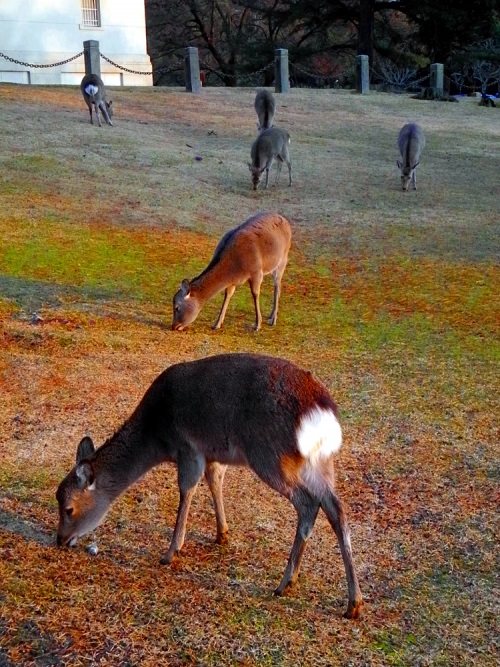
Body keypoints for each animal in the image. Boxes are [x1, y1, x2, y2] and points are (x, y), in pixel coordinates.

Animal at [56, 352, 364, 620]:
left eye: (69, 508)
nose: (60, 540)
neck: (157, 435)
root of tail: (323, 411)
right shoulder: (213, 453)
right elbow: (215, 482)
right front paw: (222, 534)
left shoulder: (189, 447)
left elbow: (187, 490)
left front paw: (170, 552)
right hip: (321, 462)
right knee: (336, 507)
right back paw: (353, 603)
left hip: (270, 455)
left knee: (308, 504)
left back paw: (285, 582)